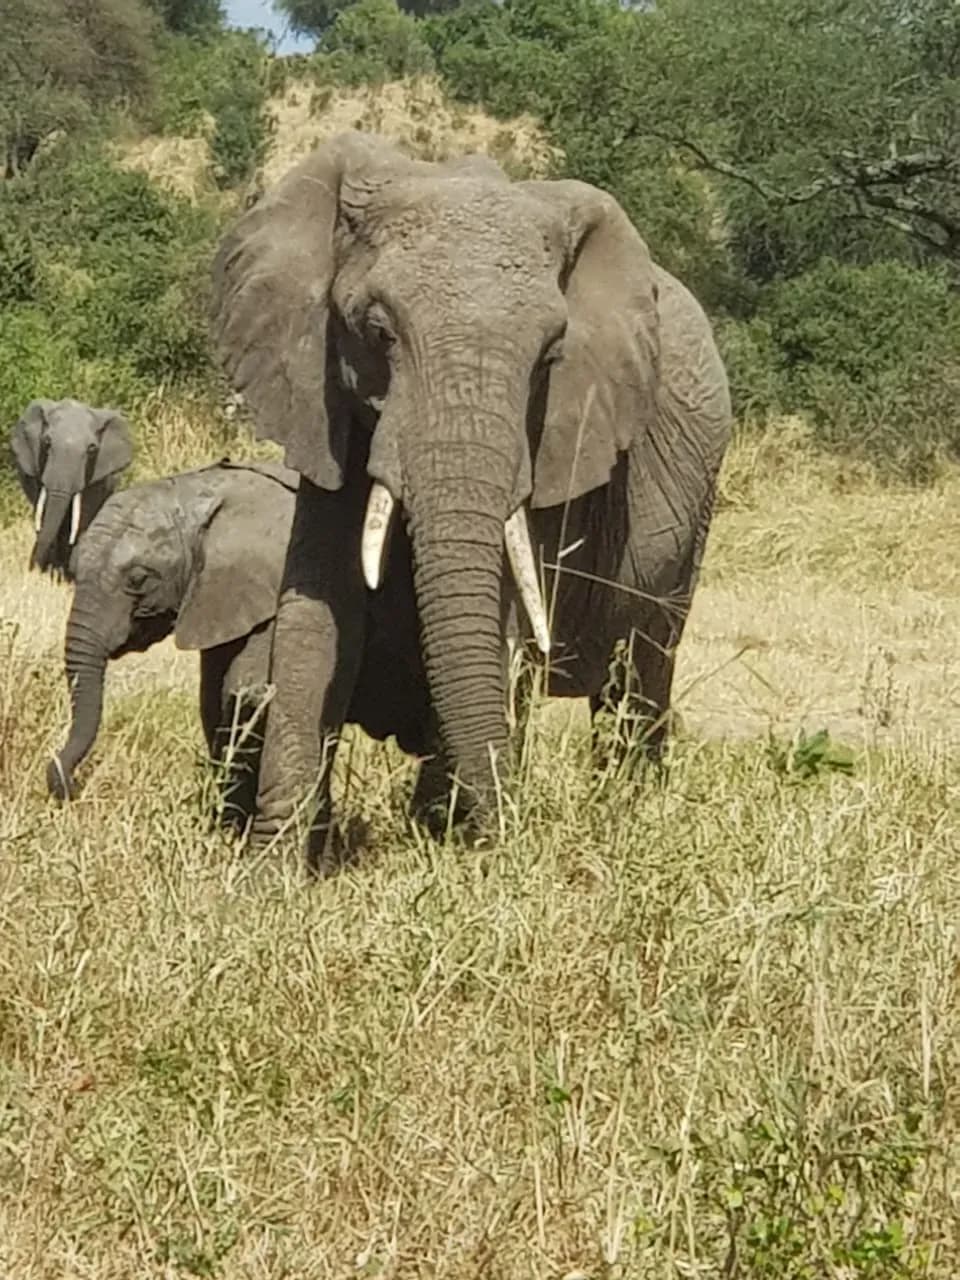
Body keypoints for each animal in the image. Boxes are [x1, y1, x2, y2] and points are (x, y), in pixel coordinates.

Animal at [10, 398, 133, 578]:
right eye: (46, 442)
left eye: (92, 449)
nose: (34, 570)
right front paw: (50, 573)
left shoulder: (98, 477)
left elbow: (81, 516)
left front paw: (64, 575)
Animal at [209, 130, 732, 868]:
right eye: (378, 333)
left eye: (551, 357)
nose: (499, 838)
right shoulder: (322, 404)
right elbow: (316, 613)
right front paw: (270, 873)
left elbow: (505, 619)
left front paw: (452, 843)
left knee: (640, 668)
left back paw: (628, 810)